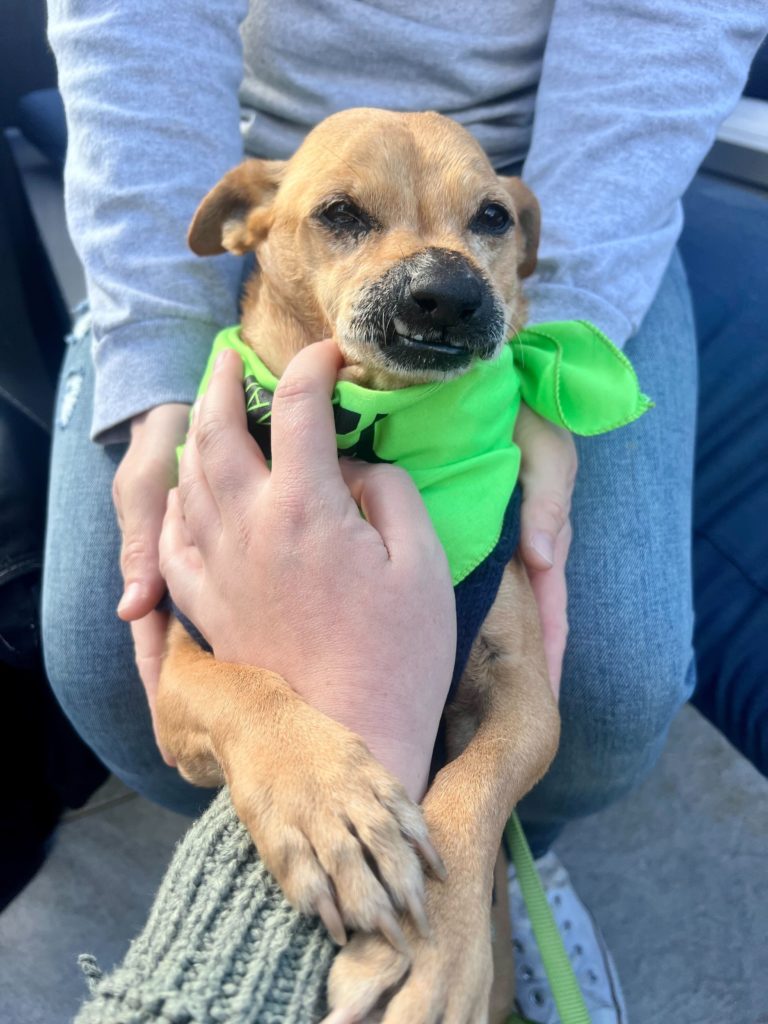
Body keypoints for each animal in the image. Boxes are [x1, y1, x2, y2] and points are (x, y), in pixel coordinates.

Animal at [157, 110, 561, 1024]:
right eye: (340, 213)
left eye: (493, 217)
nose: (448, 289)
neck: (371, 430)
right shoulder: (173, 681)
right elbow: (244, 687)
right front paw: (327, 803)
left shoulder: (528, 695)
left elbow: (477, 783)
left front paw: (439, 947)